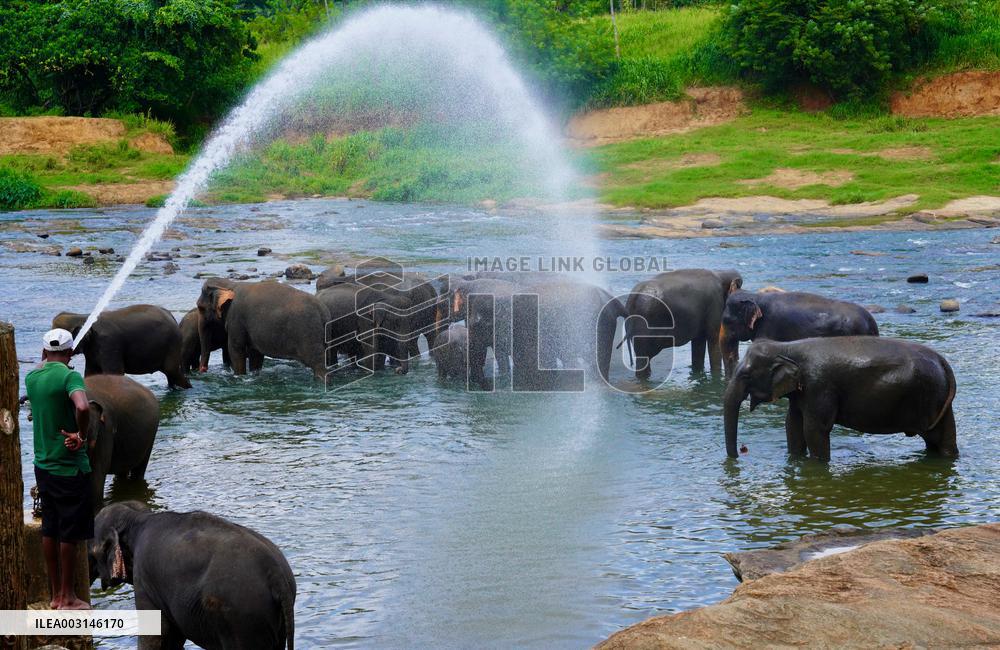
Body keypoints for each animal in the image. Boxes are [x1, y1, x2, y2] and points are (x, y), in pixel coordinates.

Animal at [52, 305, 190, 389]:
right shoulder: (92, 350)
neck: (83, 317)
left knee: (172, 371)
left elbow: (114, 373)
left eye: (55, 343)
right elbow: (91, 373)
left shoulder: (109, 344)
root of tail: (171, 316)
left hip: (172, 345)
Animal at [89, 501, 296, 650]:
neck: (137, 518)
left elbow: (156, 637)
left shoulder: (145, 580)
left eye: (91, 552)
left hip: (242, 620)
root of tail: (276, 575)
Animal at [197, 279, 330, 380]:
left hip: (309, 334)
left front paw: (239, 377)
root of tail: (322, 310)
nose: (202, 370)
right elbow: (255, 353)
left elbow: (235, 349)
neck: (229, 284)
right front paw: (254, 375)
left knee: (318, 364)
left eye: (200, 308)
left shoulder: (236, 319)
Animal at [723, 337, 957, 461]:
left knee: (939, 437)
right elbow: (792, 425)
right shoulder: (801, 393)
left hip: (931, 395)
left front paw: (817, 466)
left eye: (746, 375)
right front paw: (796, 460)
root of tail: (942, 360)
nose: (739, 454)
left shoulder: (818, 385)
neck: (786, 347)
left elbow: (814, 429)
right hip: (938, 399)